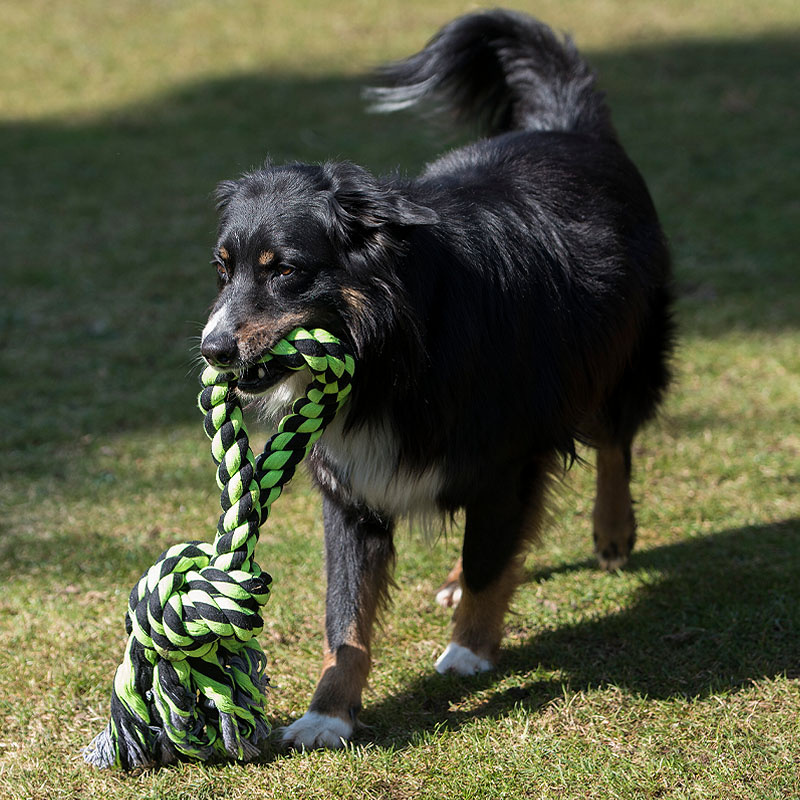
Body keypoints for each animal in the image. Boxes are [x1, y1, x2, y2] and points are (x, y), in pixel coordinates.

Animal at [198, 9, 668, 748]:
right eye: (224, 269)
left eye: (285, 270)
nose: (213, 349)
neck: (392, 353)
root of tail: (567, 126)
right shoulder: (351, 490)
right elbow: (344, 618)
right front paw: (327, 714)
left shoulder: (508, 459)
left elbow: (489, 562)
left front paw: (469, 652)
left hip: (627, 349)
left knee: (616, 439)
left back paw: (613, 531)